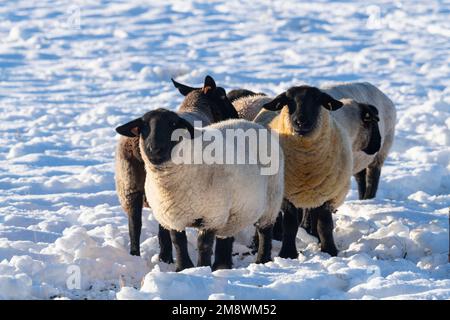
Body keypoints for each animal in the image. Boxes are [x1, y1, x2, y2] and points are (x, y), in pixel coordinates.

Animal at [116, 109, 284, 272]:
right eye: (143, 126)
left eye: (173, 124)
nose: (155, 149)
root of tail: (254, 125)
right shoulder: (173, 216)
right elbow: (178, 242)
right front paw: (183, 268)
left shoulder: (211, 215)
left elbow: (203, 245)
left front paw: (201, 268)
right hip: (233, 211)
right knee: (226, 236)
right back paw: (221, 266)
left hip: (272, 198)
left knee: (265, 231)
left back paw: (261, 260)